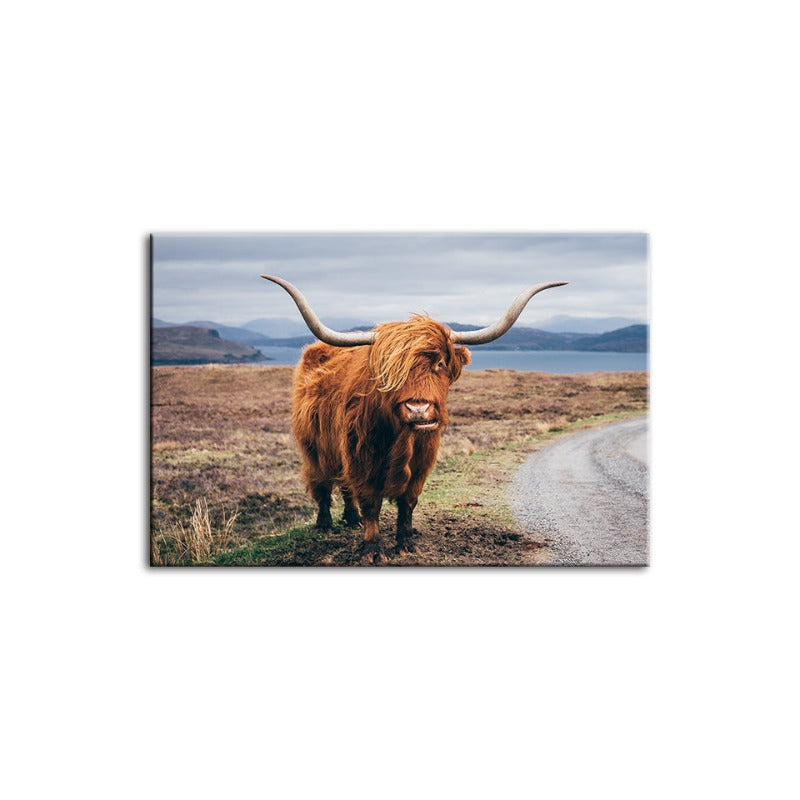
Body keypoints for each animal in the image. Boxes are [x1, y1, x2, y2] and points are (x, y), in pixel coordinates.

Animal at [261, 274, 567, 564]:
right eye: (389, 371)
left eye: (440, 363)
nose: (418, 409)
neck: (401, 439)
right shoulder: (361, 458)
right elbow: (370, 502)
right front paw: (372, 549)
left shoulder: (422, 461)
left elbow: (408, 502)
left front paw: (406, 544)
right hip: (314, 446)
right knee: (322, 483)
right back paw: (325, 523)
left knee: (345, 487)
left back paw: (351, 519)